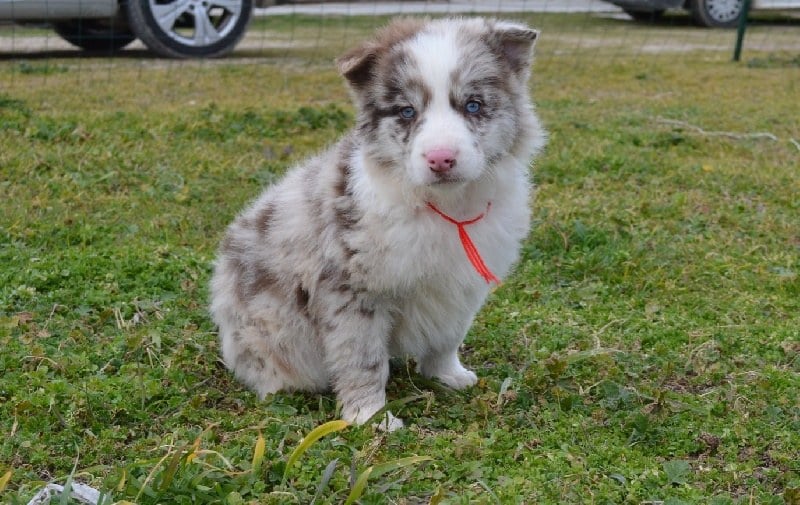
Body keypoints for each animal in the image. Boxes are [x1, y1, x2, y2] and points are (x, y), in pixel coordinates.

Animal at [209, 18, 548, 430]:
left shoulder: (461, 285)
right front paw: (371, 418)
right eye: (406, 112)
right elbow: (362, 357)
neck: (441, 205)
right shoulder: (350, 288)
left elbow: (448, 336)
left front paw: (447, 375)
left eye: (473, 105)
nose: (440, 159)